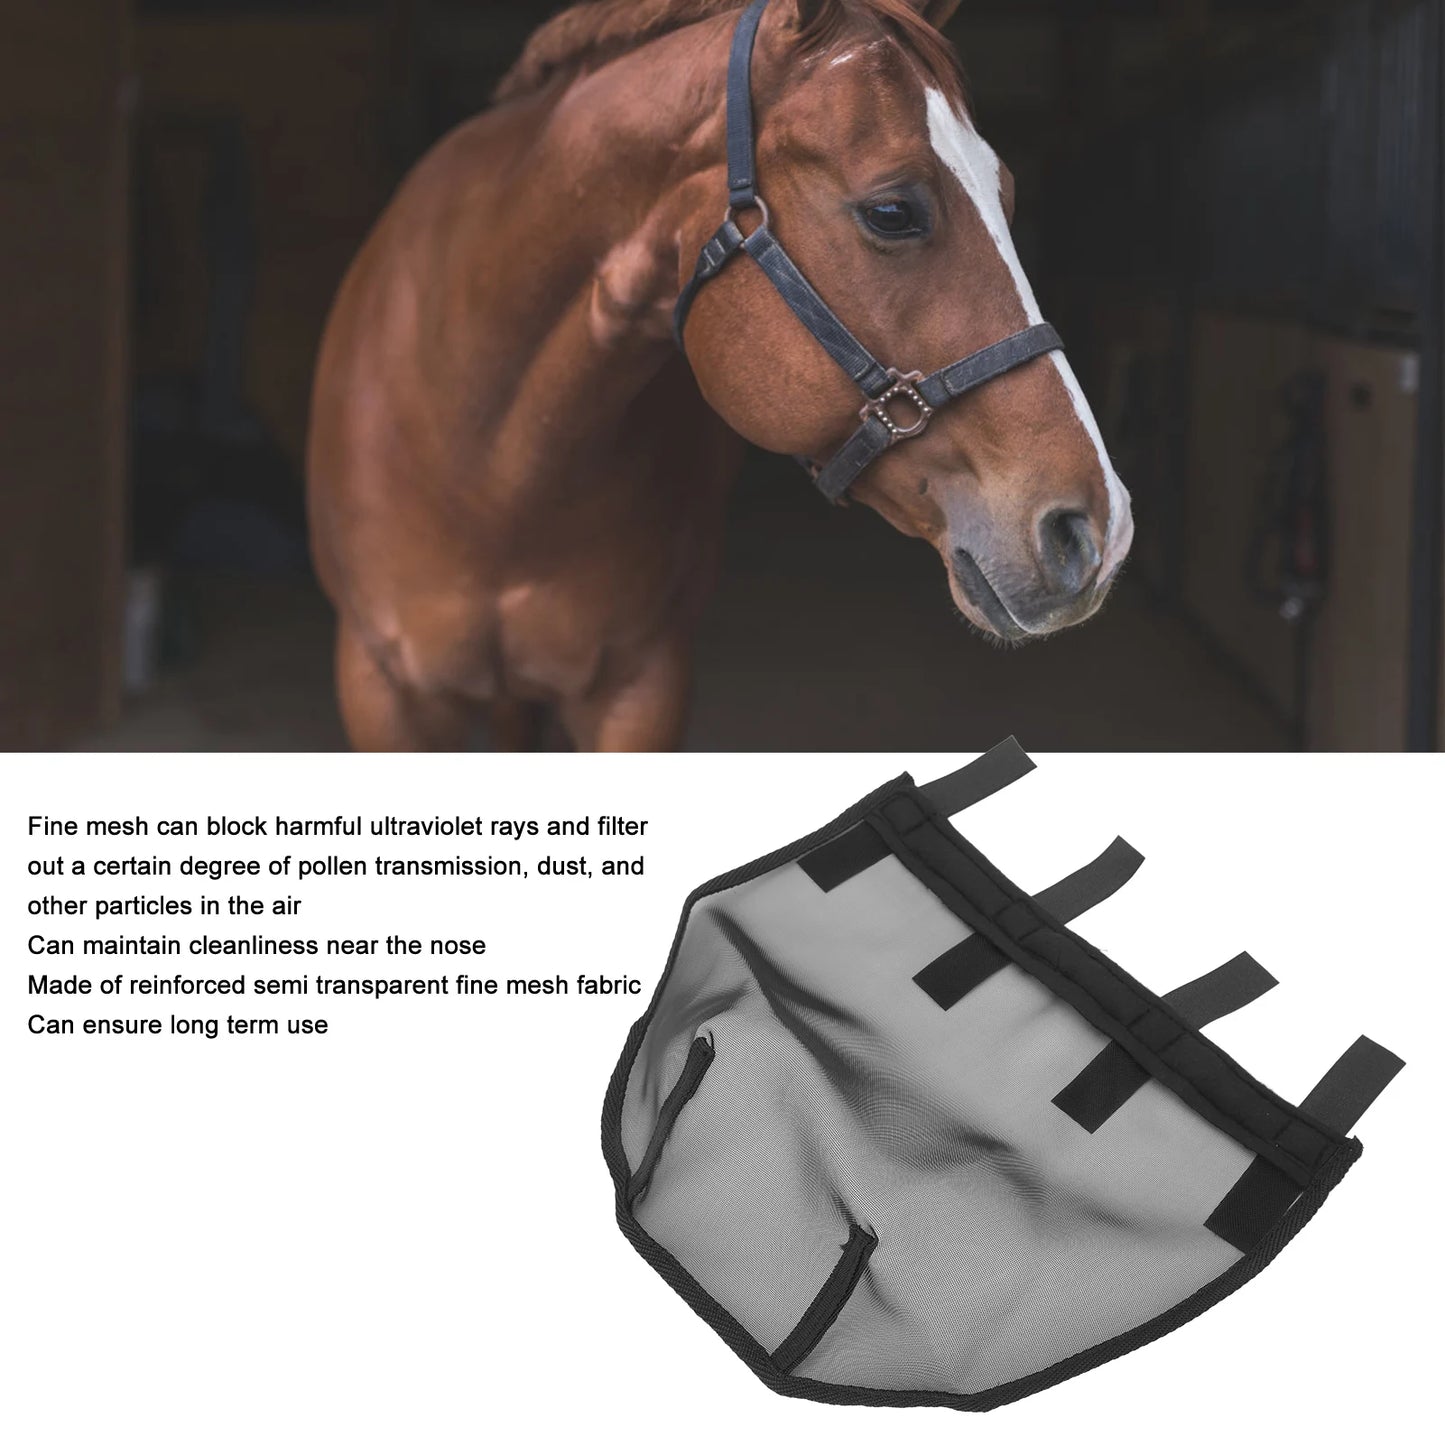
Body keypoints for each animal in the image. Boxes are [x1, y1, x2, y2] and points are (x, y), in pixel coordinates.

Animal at [307, 0, 1134, 751]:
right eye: (891, 211)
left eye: (1007, 196)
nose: (1098, 530)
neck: (492, 473)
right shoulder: (383, 692)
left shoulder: (642, 689)